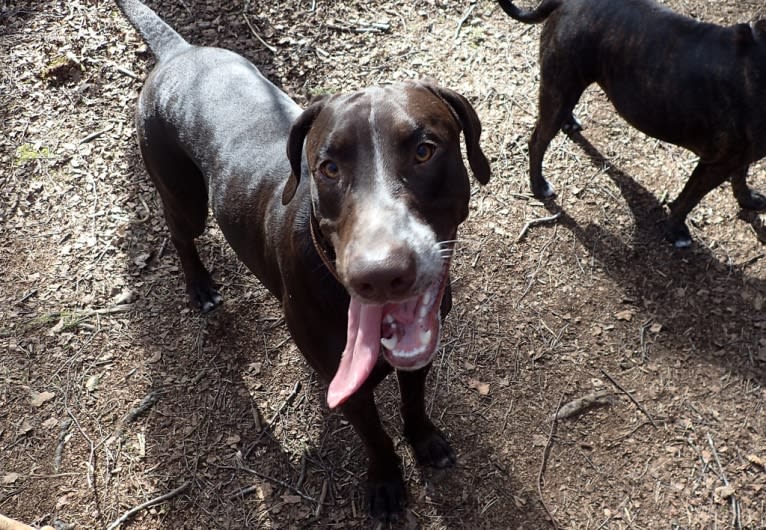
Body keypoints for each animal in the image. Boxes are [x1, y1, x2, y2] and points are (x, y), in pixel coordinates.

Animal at [119, 0, 492, 516]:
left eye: (424, 151)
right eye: (328, 168)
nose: (379, 275)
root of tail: (179, 52)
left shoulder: (419, 351)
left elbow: (414, 402)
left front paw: (425, 441)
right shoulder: (346, 387)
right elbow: (375, 436)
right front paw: (386, 483)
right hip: (183, 195)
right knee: (179, 234)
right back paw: (200, 287)